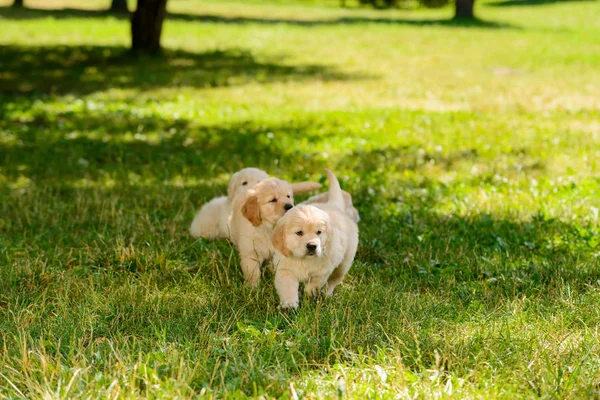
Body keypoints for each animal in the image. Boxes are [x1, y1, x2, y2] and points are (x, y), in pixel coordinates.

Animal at [274, 169, 360, 310]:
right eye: (299, 233)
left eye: (319, 232)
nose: (312, 246)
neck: (303, 259)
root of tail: (333, 205)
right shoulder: (284, 270)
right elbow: (287, 288)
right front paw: (289, 305)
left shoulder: (322, 272)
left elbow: (313, 286)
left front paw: (308, 298)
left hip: (344, 262)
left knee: (334, 279)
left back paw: (326, 293)